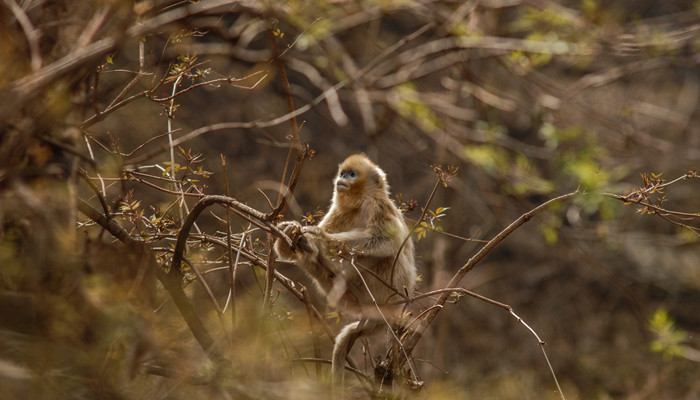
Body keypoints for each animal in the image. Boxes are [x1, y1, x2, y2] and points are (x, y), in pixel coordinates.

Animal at [272, 153, 416, 390]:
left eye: (352, 174)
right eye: (343, 173)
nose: (342, 179)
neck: (358, 204)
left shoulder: (377, 203)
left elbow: (388, 240)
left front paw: (317, 236)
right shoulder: (338, 211)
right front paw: (291, 235)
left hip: (389, 286)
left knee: (384, 255)